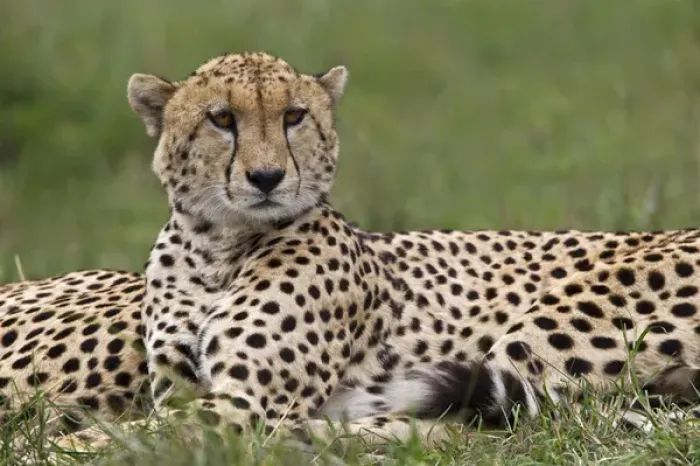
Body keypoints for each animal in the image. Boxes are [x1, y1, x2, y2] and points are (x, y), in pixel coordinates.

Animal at [5, 50, 700, 456]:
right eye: (222, 119)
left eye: (294, 117)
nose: (266, 178)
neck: (217, 246)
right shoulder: (182, 389)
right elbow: (146, 422)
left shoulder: (241, 398)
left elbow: (120, 433)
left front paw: (64, 448)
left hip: (548, 328)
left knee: (496, 420)